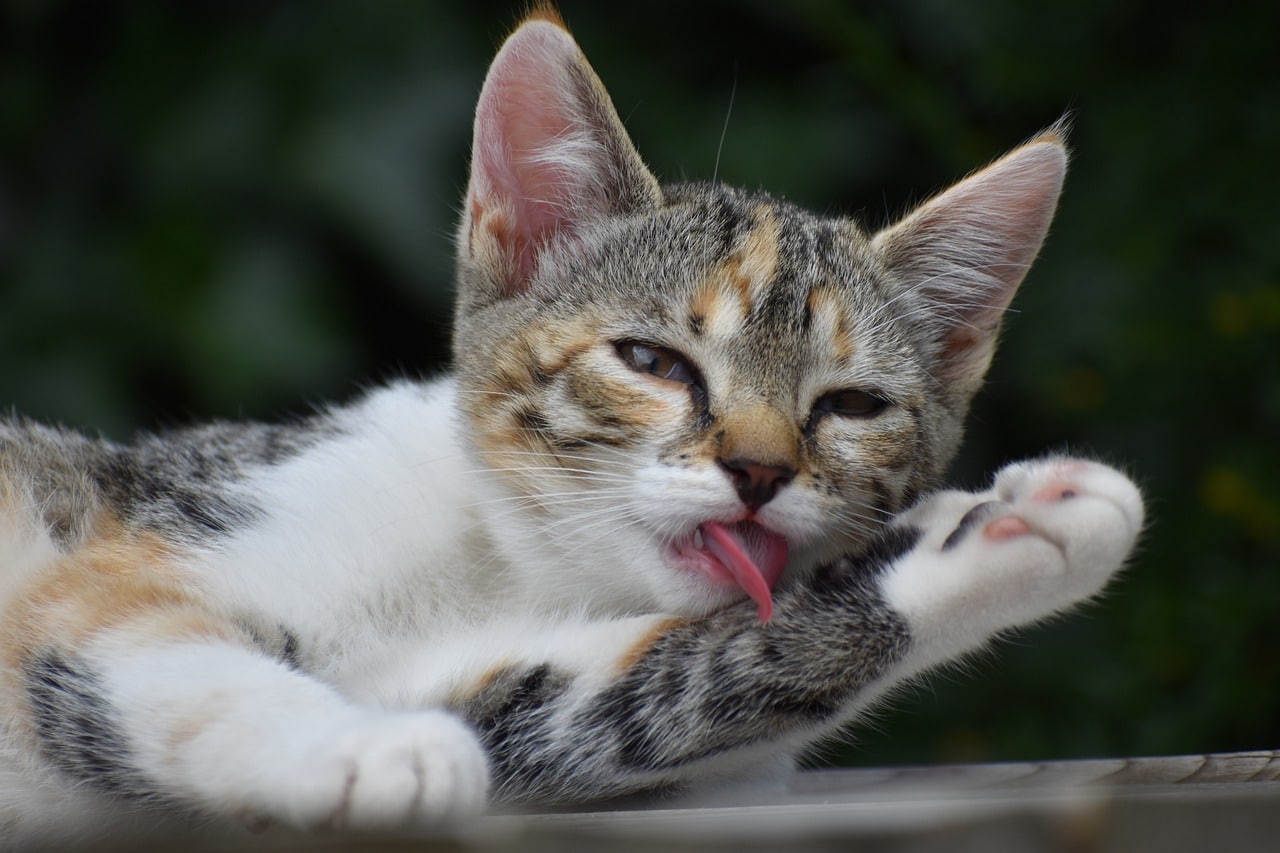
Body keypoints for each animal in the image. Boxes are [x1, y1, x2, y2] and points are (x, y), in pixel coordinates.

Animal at [0, 4, 1141, 845]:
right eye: (651, 362)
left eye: (850, 405)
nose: (758, 470)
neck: (503, 558)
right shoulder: (127, 562)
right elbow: (175, 656)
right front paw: (362, 749)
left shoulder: (474, 695)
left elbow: (644, 695)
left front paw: (1005, 532)